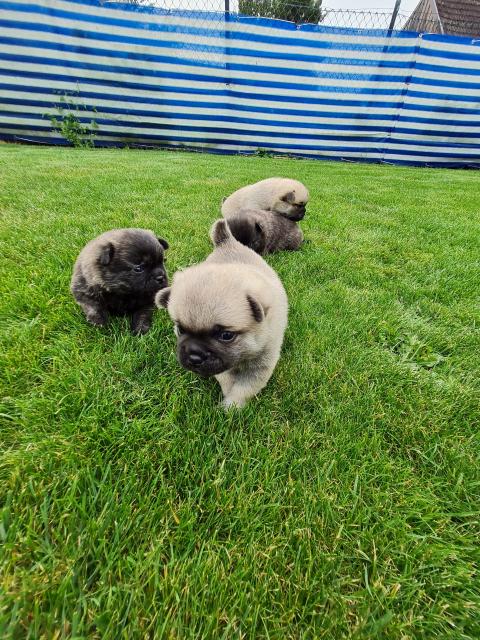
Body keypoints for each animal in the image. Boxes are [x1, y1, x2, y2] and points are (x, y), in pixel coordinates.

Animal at [156, 219, 288, 408]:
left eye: (226, 336)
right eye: (180, 330)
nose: (194, 355)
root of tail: (228, 243)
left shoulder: (260, 366)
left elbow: (243, 389)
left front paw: (232, 407)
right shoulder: (223, 368)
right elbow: (228, 381)